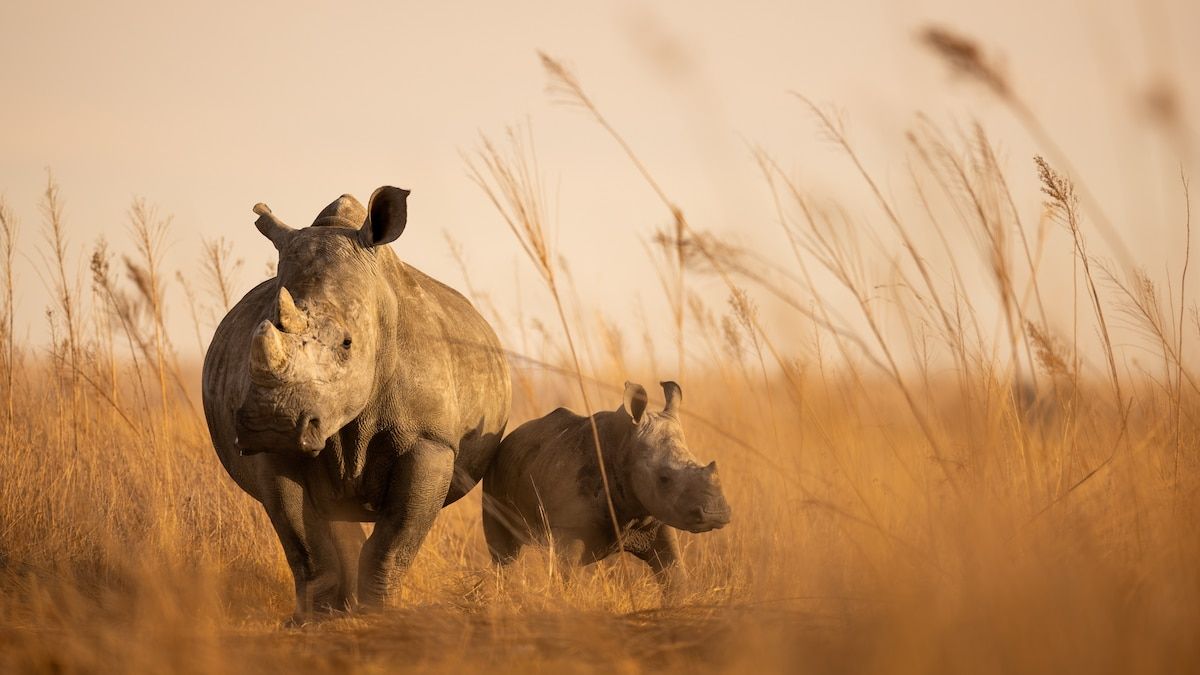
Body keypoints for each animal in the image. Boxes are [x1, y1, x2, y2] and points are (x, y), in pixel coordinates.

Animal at [202, 186, 510, 618]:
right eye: (255, 337)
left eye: (348, 344)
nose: (272, 424)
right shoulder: (275, 452)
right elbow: (305, 544)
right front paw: (313, 620)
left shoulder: (431, 441)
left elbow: (394, 542)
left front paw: (377, 613)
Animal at [481, 381, 730, 599]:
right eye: (664, 479)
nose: (717, 514)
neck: (624, 446)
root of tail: (509, 437)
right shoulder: (568, 527)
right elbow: (565, 578)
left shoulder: (655, 522)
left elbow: (674, 574)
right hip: (493, 473)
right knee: (504, 555)